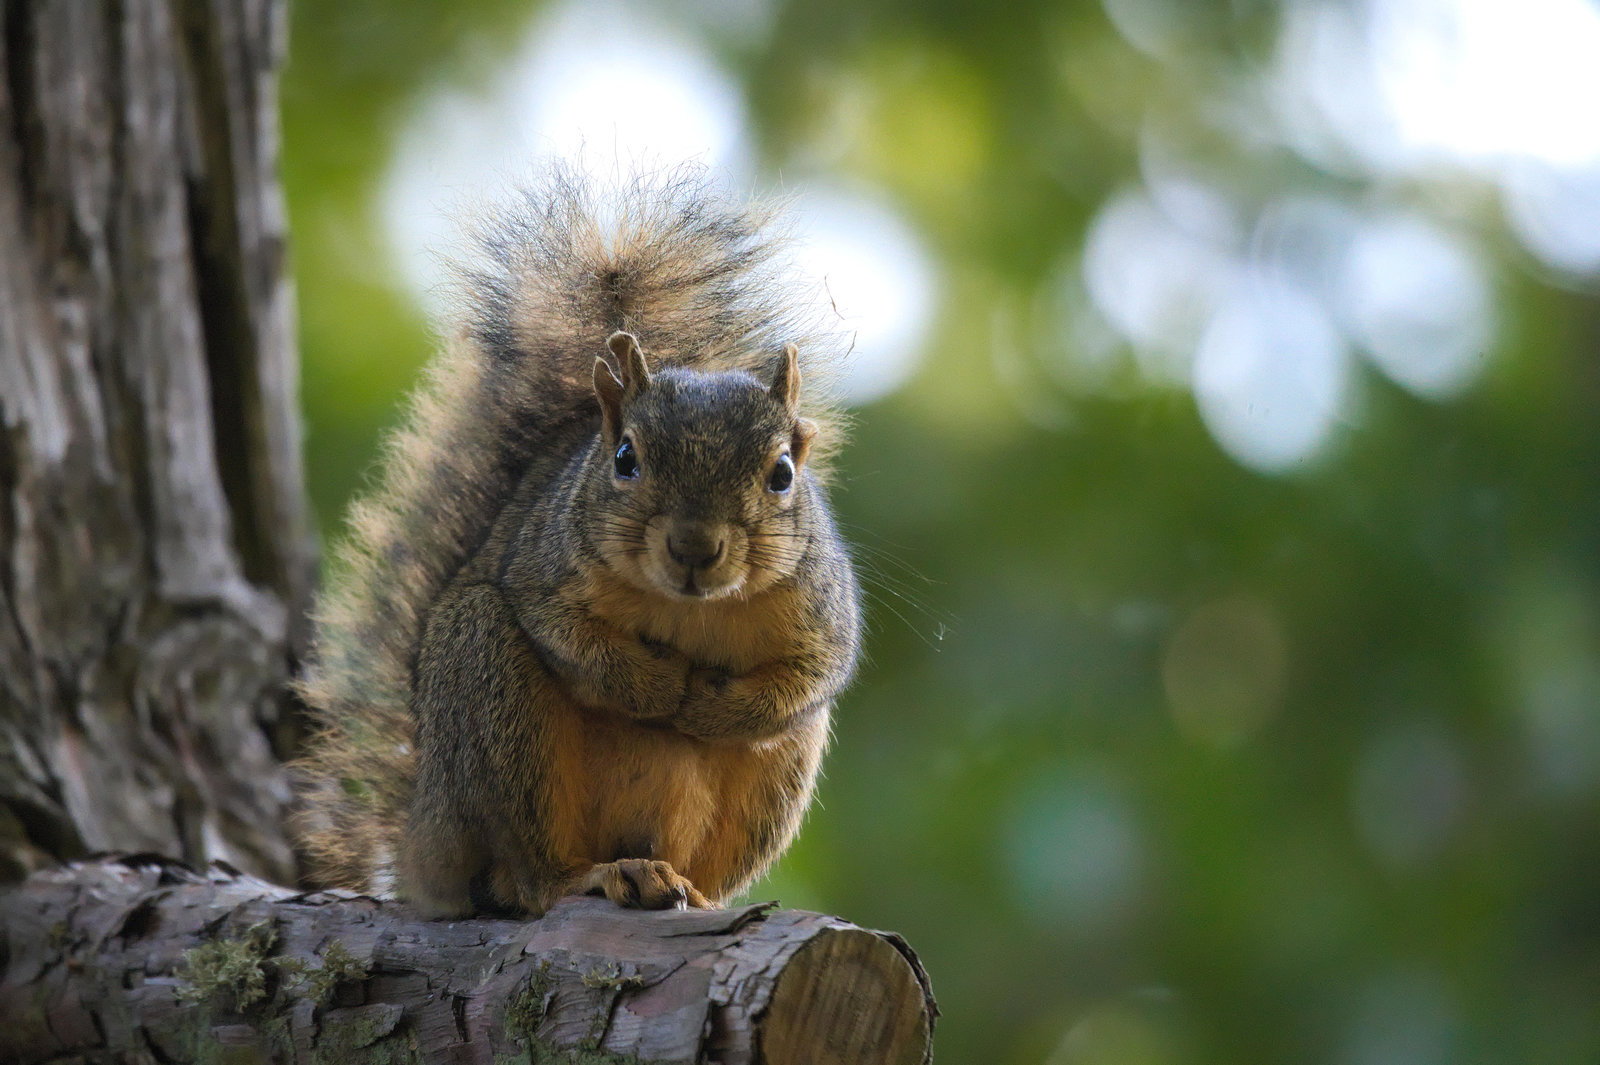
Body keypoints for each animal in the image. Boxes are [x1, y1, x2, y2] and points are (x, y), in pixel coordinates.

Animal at [288, 167, 864, 921]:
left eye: (783, 474)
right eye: (625, 459)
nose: (694, 546)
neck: (687, 608)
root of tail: (419, 836)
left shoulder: (819, 610)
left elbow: (809, 677)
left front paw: (709, 705)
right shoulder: (544, 568)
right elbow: (571, 640)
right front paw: (661, 686)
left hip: (776, 774)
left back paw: (692, 891)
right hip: (487, 693)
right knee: (525, 875)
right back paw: (588, 875)